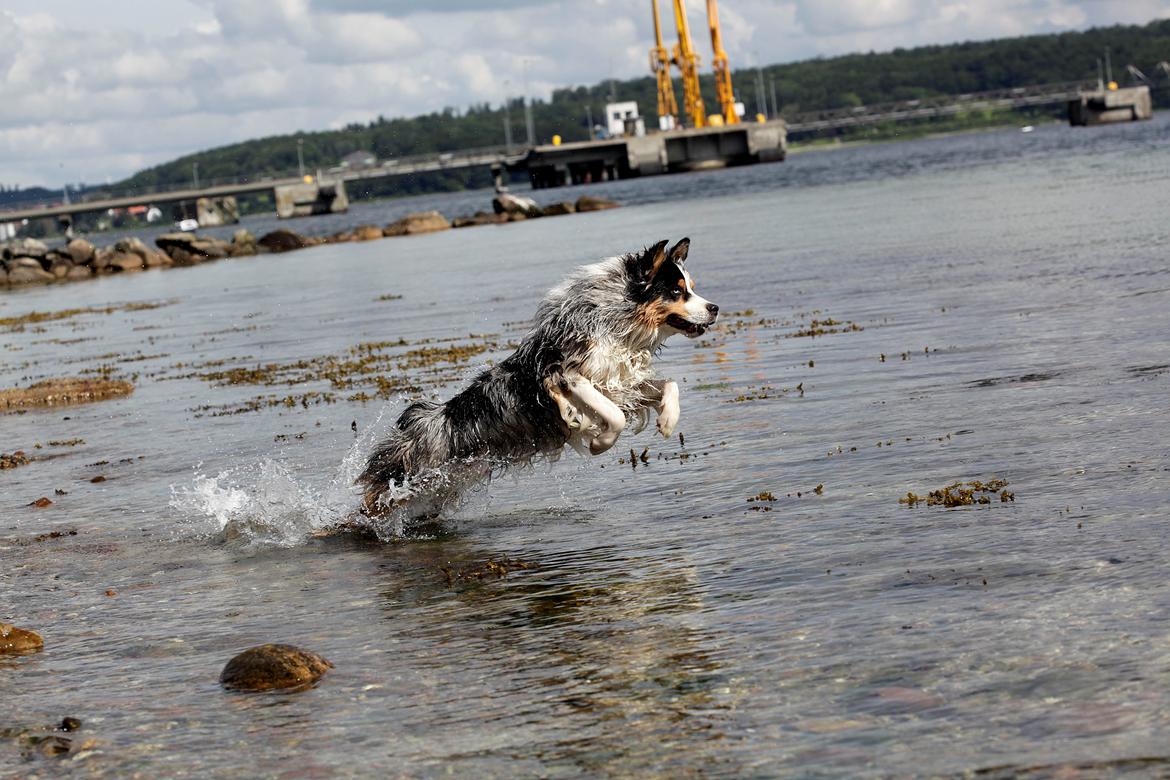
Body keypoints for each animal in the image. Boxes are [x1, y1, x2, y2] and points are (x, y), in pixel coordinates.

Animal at [355, 238, 716, 519]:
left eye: (692, 288)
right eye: (676, 291)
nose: (714, 308)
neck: (618, 325)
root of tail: (427, 419)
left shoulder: (621, 382)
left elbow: (668, 386)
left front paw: (667, 421)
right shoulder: (562, 374)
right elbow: (612, 415)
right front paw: (599, 443)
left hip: (447, 481)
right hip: (416, 475)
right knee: (374, 499)